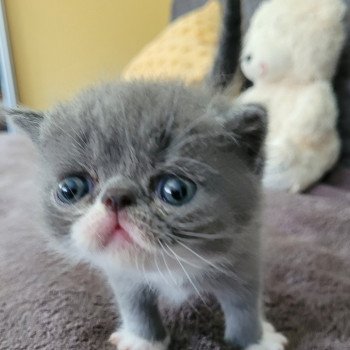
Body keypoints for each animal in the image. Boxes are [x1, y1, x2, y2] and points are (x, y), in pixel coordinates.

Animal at [6, 80, 288, 348]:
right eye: (71, 189)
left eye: (175, 190)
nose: (116, 196)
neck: (170, 266)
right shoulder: (121, 272)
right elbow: (135, 305)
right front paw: (143, 340)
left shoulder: (245, 252)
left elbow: (244, 302)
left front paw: (255, 340)